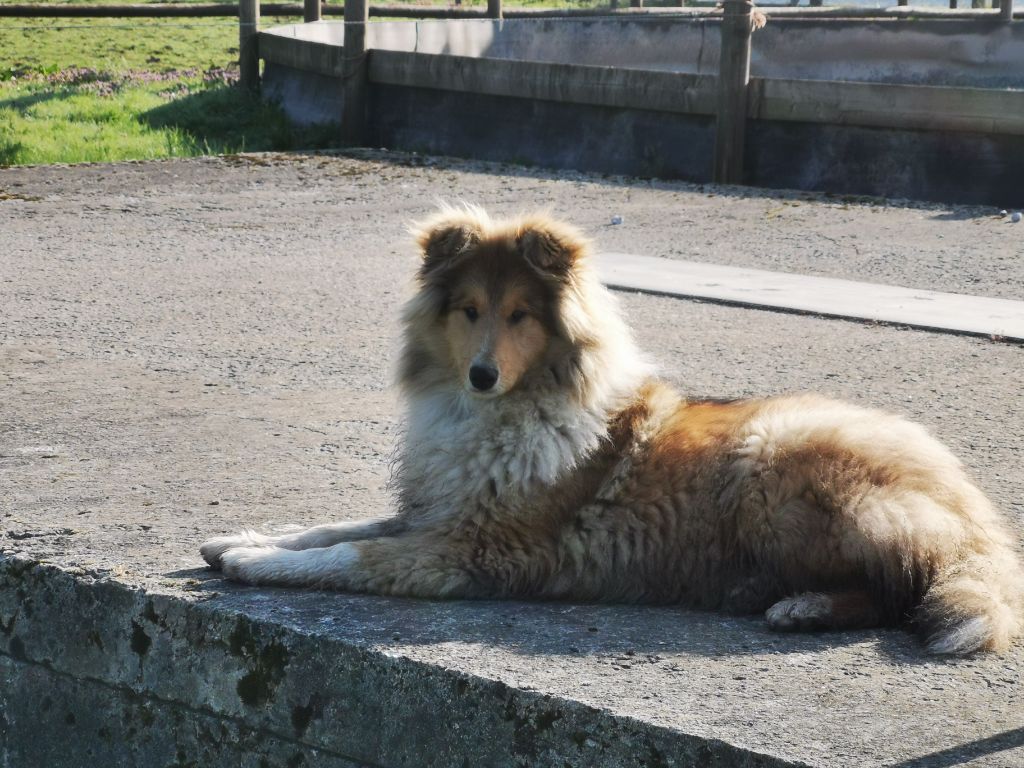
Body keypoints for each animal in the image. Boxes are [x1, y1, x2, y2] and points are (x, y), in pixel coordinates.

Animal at [199, 205, 1024, 655]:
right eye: (468, 310)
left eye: (521, 315)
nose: (482, 375)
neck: (499, 415)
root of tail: (977, 514)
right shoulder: (435, 510)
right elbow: (331, 528)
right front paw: (240, 538)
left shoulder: (465, 550)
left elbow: (350, 555)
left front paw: (252, 565)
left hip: (774, 464)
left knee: (901, 585)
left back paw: (802, 606)